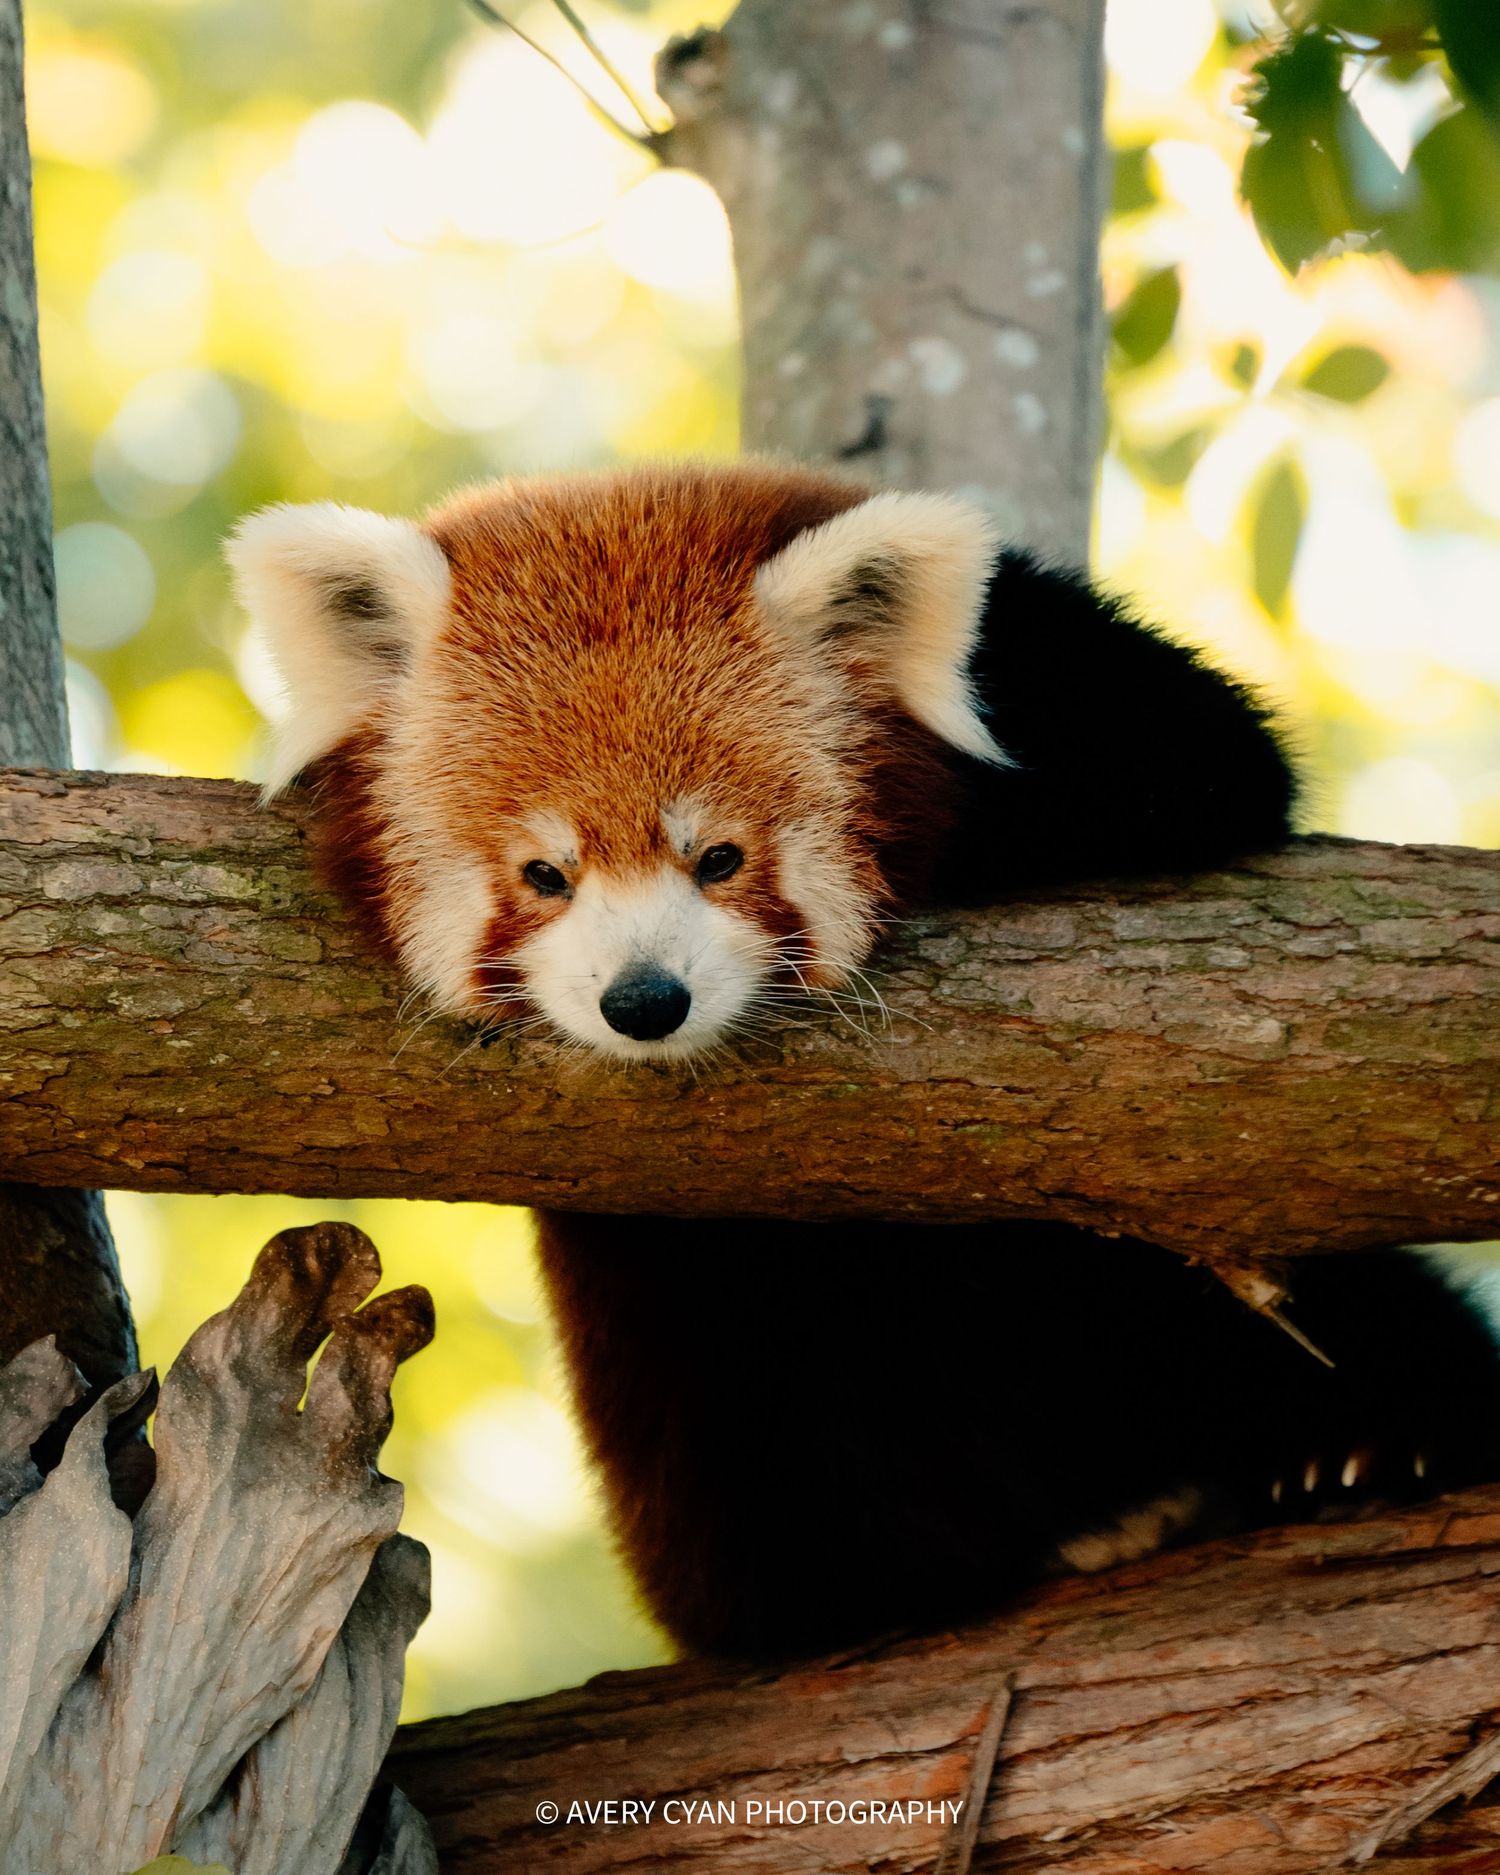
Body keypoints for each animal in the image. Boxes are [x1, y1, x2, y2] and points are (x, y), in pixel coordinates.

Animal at [229, 459, 1500, 1658]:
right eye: (546, 875)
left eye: (720, 858)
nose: (645, 1000)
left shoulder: (1086, 676)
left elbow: (1213, 761)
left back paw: (1369, 1439)